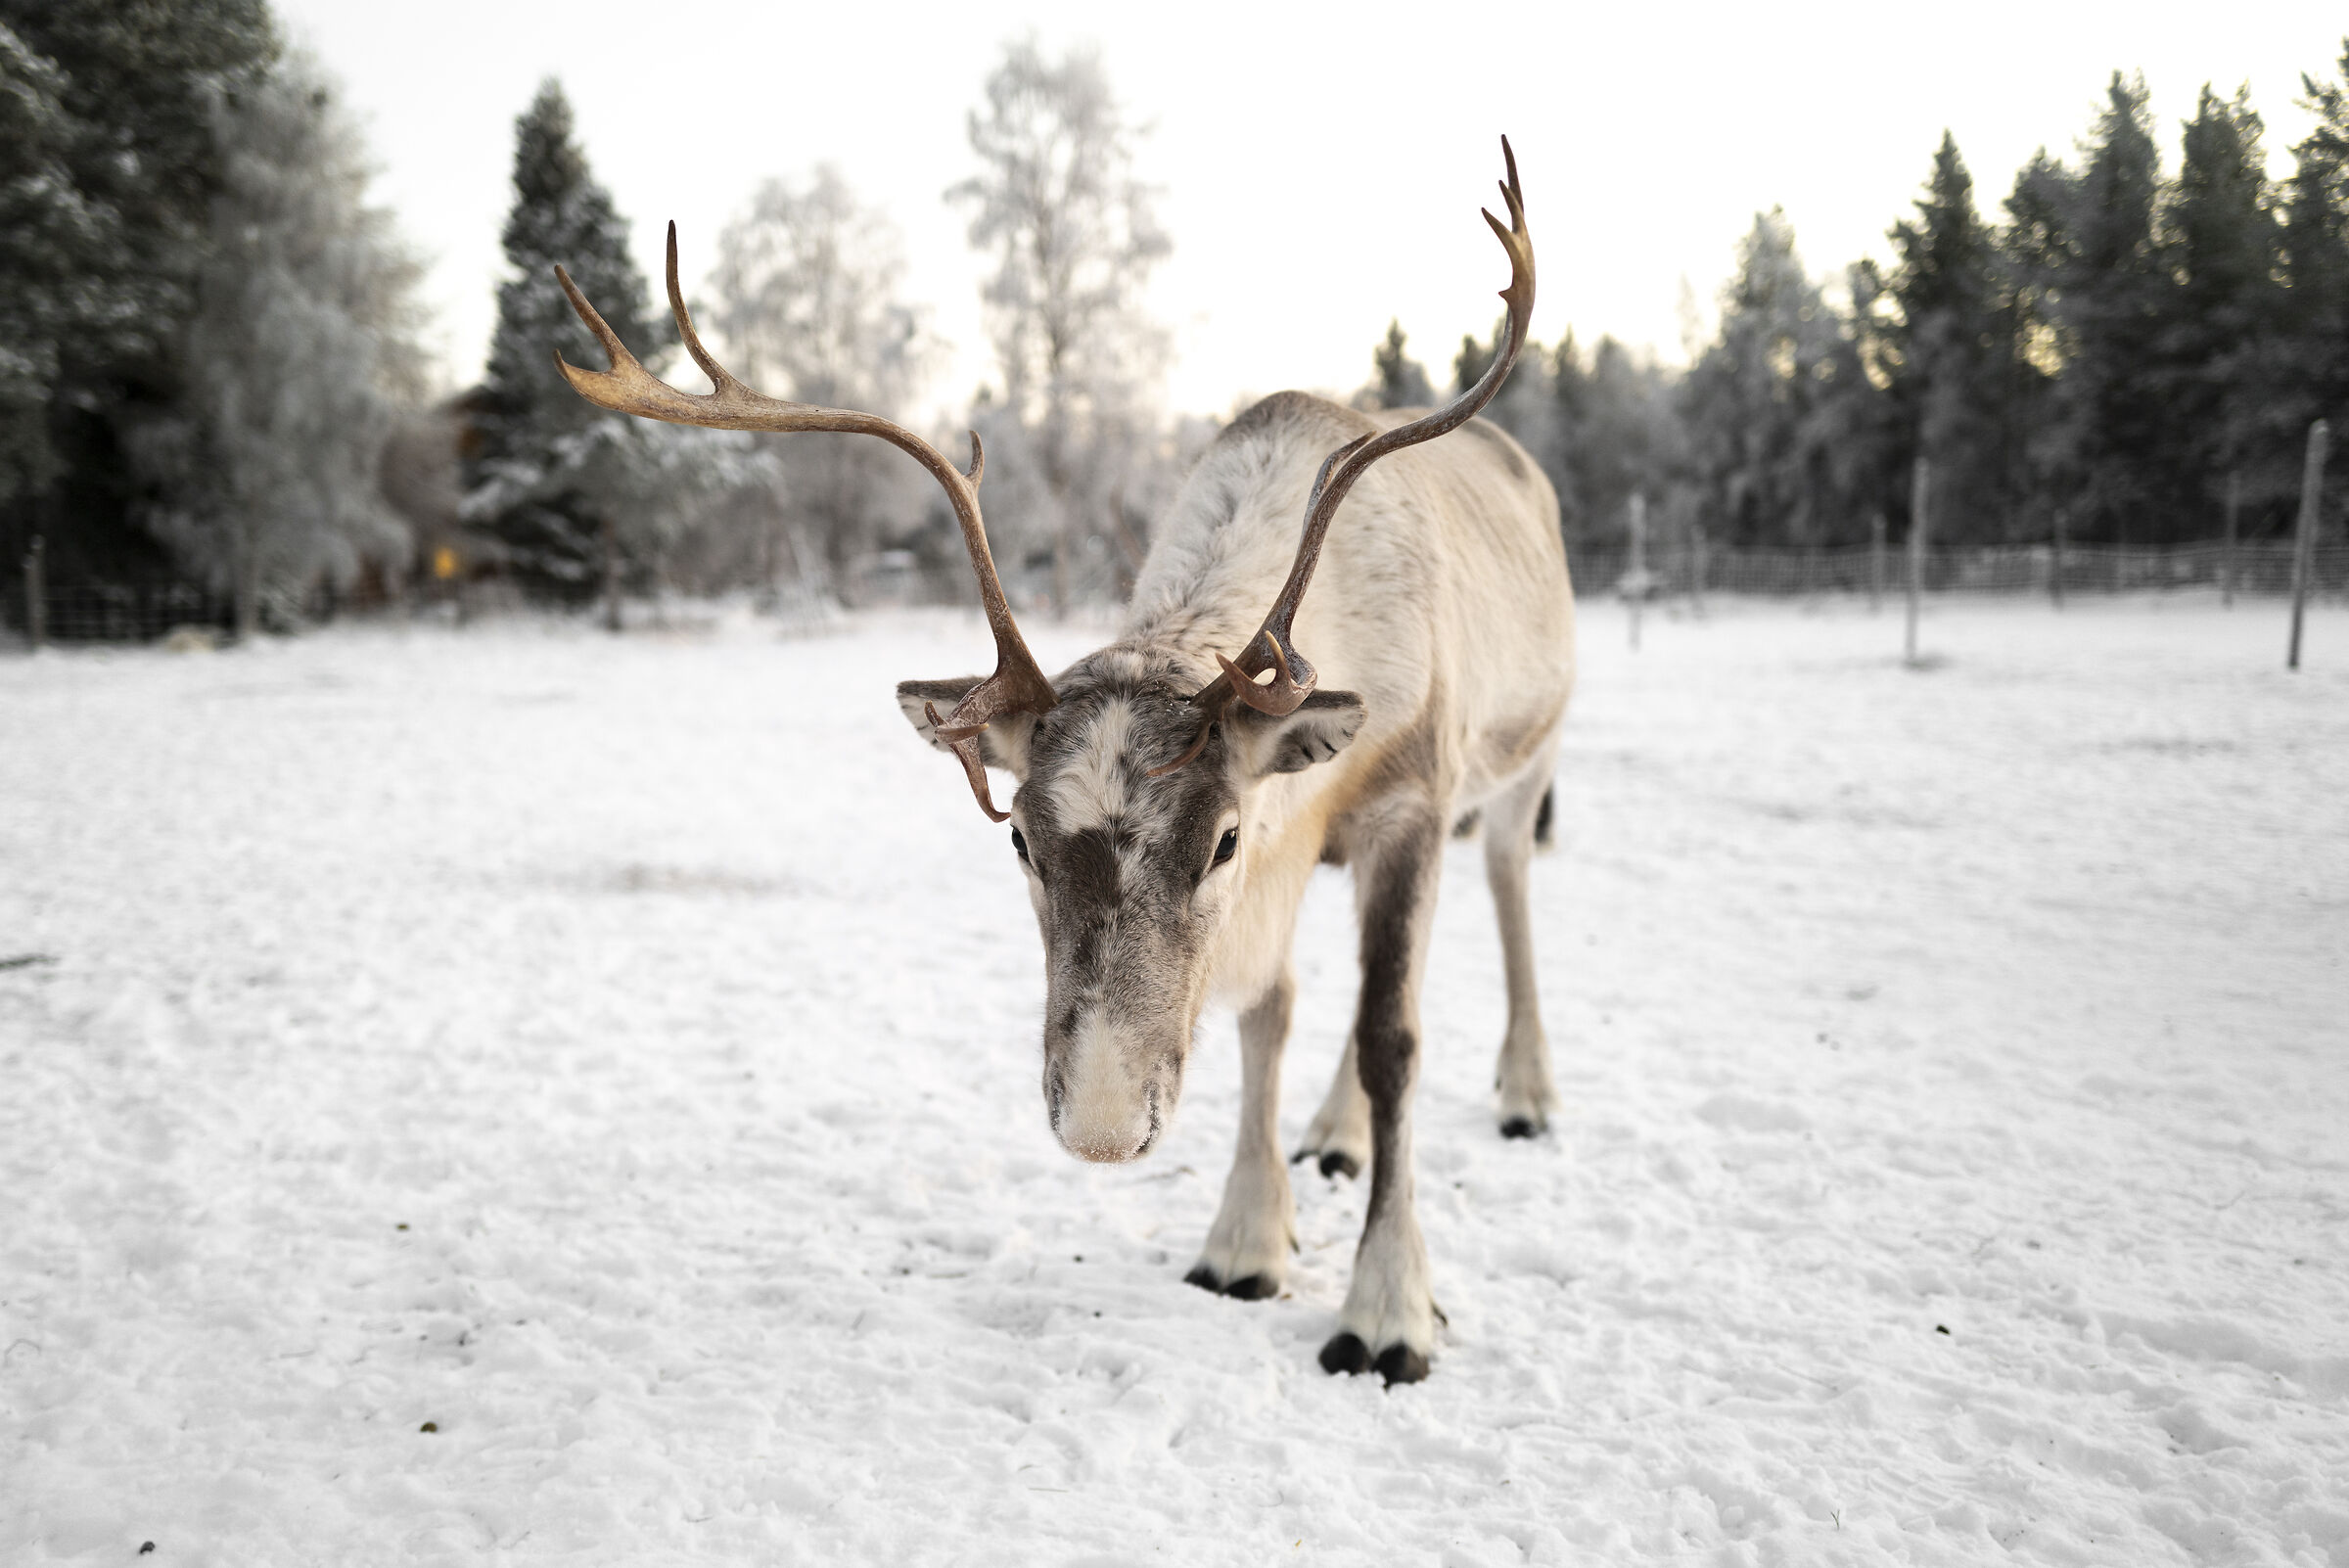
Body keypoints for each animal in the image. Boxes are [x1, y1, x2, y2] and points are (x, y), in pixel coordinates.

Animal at [552, 140, 1571, 1385]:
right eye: (1023, 845)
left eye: (1220, 838)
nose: (1100, 1125)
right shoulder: (1286, 868)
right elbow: (1269, 1012)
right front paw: (1246, 1241)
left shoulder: (1405, 805)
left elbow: (1397, 1040)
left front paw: (1388, 1313)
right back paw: (1331, 1136)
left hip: (1528, 759)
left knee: (1511, 885)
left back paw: (1527, 1093)